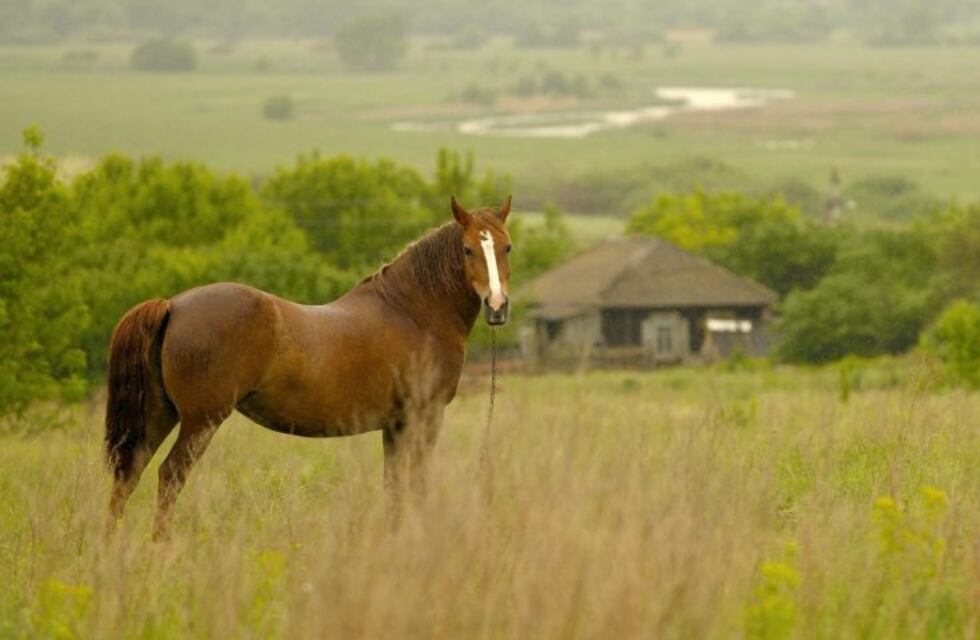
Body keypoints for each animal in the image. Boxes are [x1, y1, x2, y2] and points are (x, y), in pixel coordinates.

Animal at [104, 196, 513, 537]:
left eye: (506, 246)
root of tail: (173, 305)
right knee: (169, 475)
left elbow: (394, 486)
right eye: (468, 249)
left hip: (160, 413)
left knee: (129, 474)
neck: (413, 311)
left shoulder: (395, 425)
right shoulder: (424, 416)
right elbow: (417, 483)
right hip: (200, 421)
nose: (497, 306)